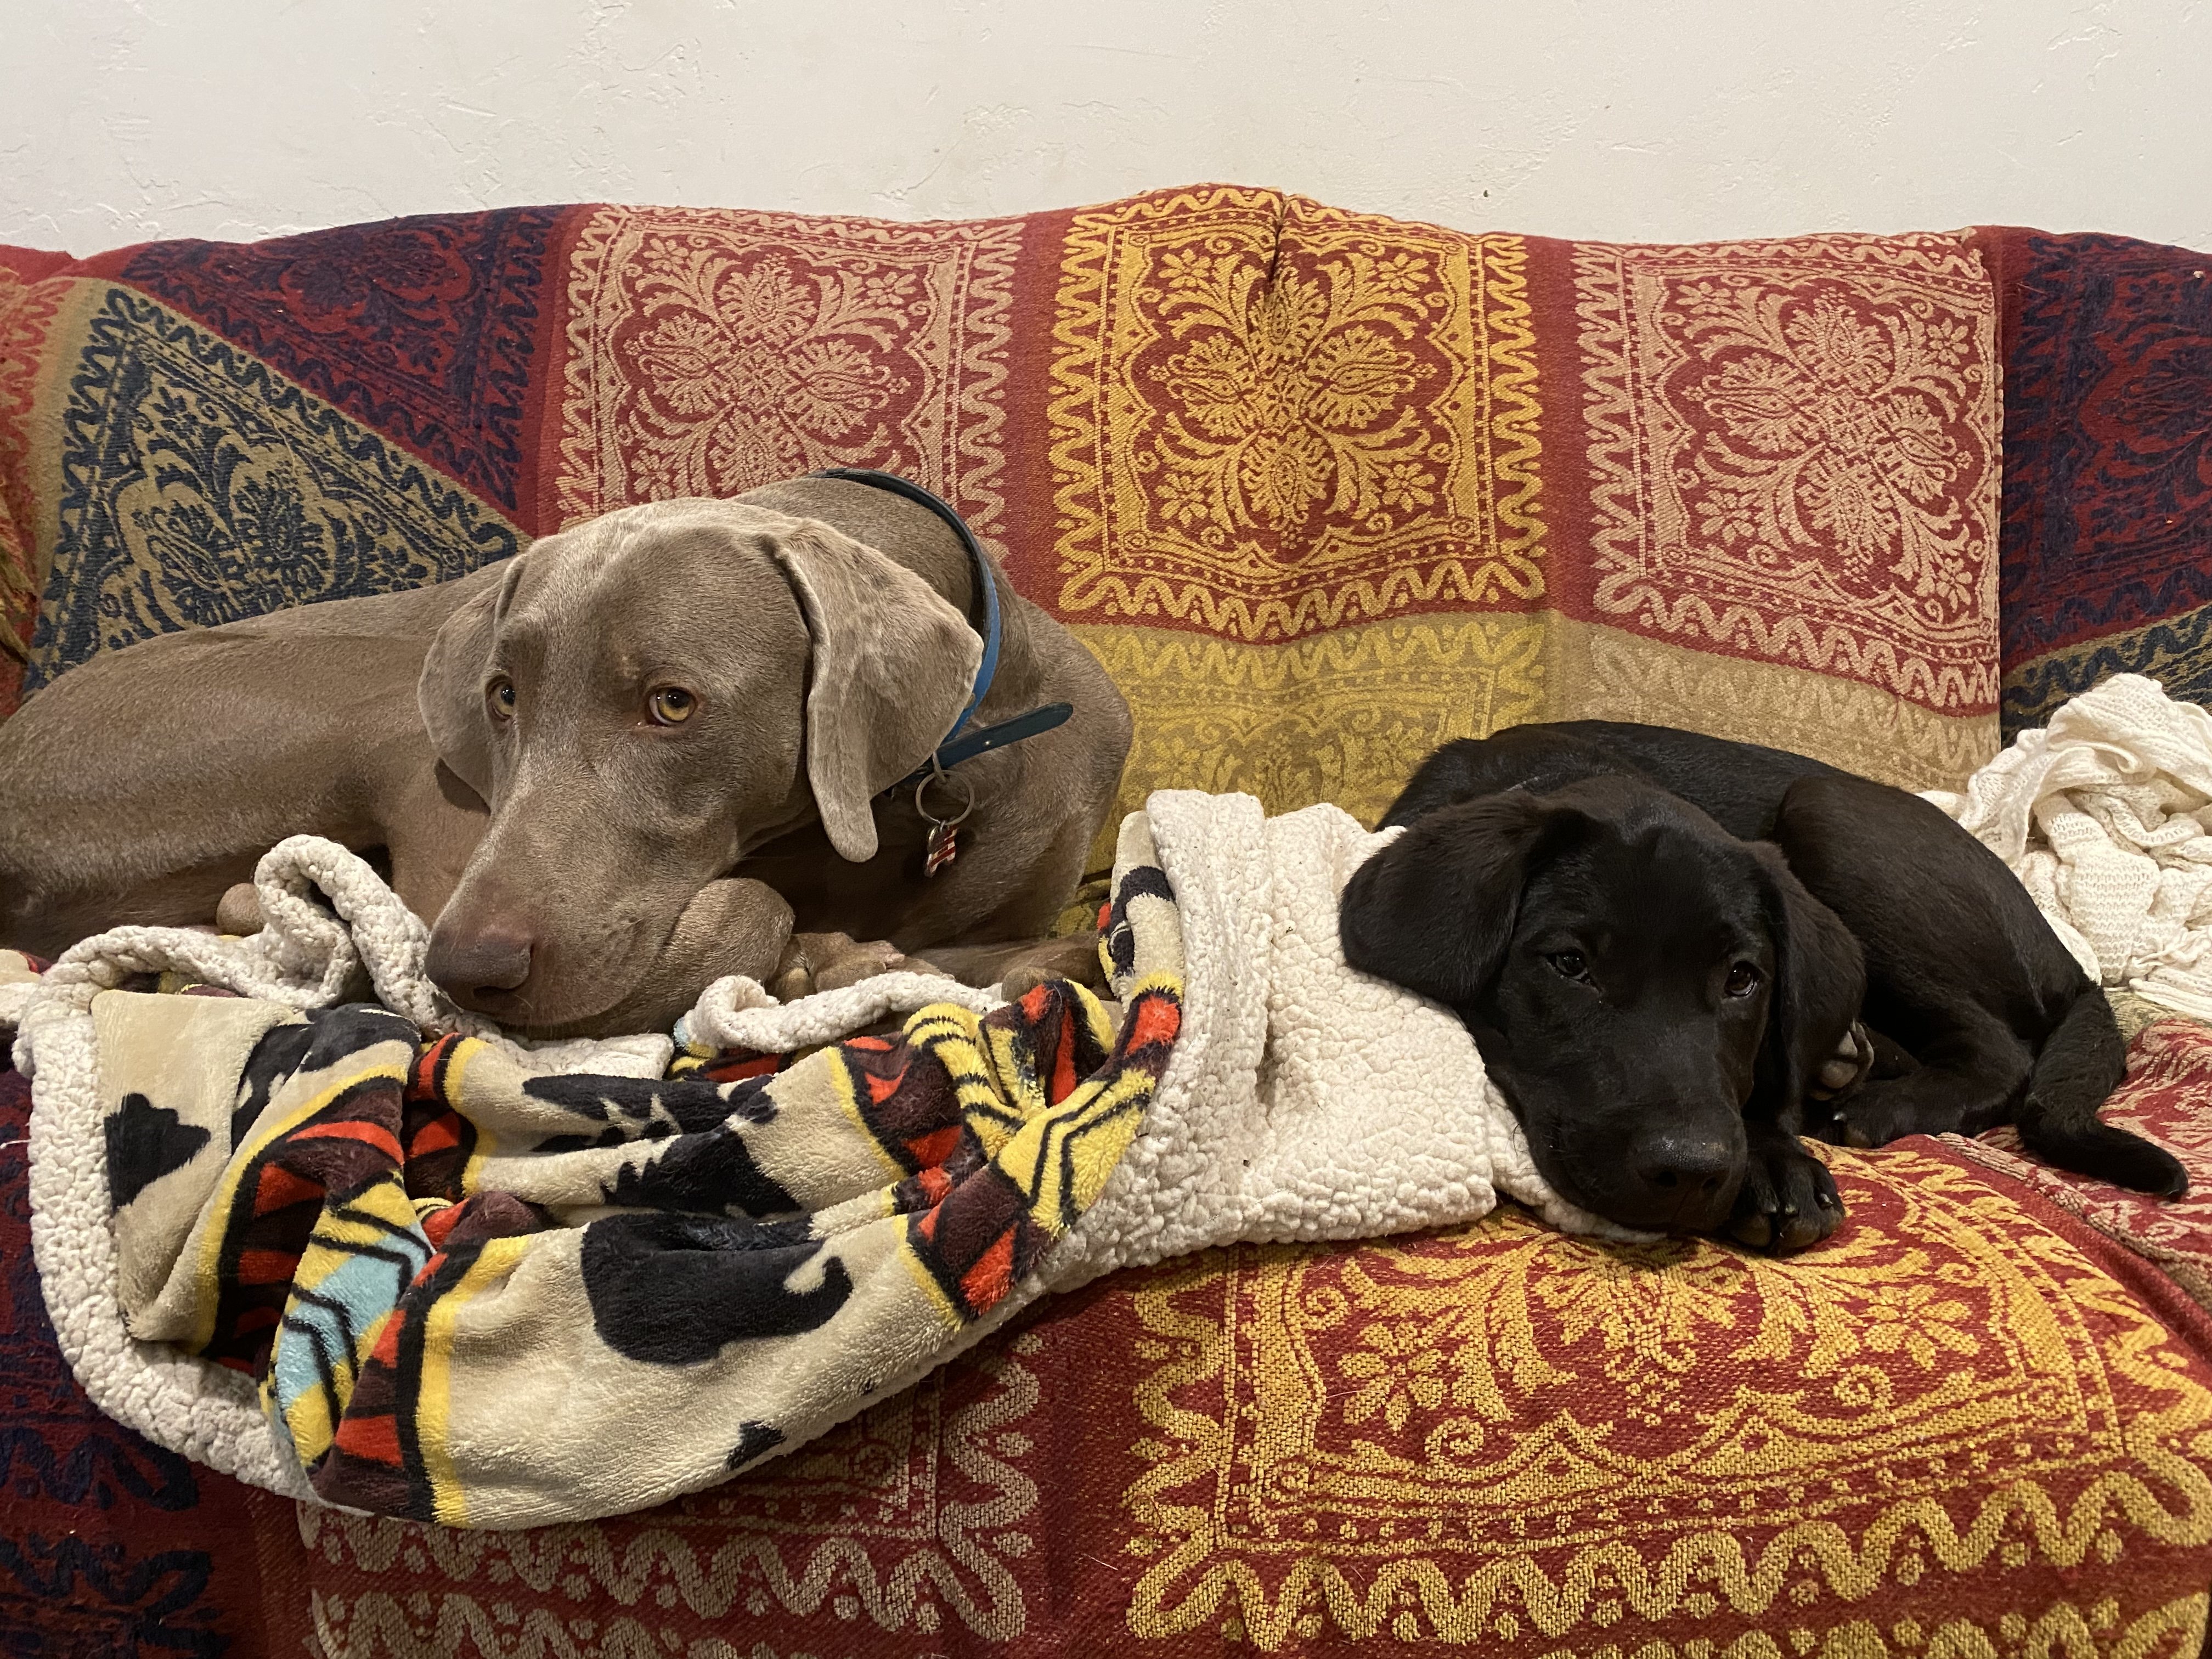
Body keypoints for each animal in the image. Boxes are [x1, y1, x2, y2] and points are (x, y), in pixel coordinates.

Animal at [0, 472, 1131, 1036]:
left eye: (672, 704)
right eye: (504, 696)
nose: (465, 973)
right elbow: (763, 914)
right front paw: (833, 954)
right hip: (382, 704)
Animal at [1339, 720, 2187, 1253]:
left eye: (1743, 980)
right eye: (1569, 964)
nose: (1691, 1171)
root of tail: (2072, 964)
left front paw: (1778, 1162)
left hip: (1828, 814)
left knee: (2001, 1052)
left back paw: (1872, 1103)